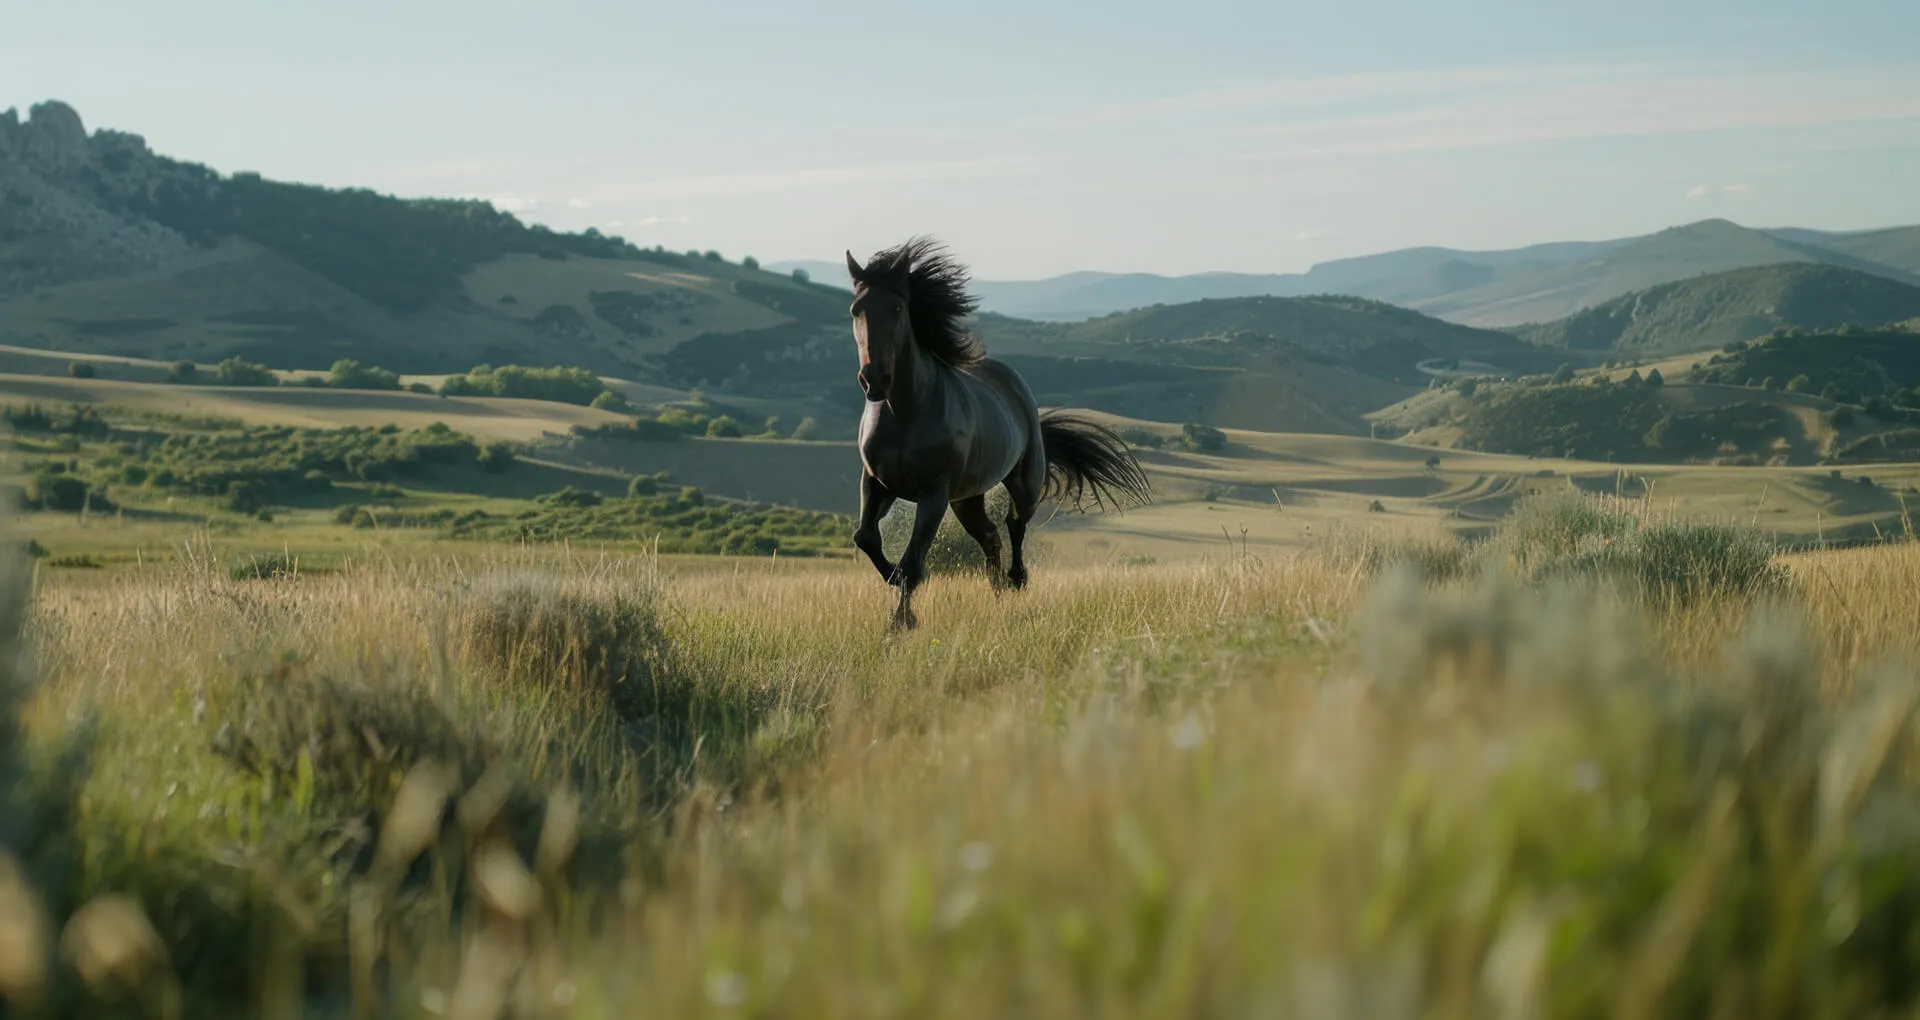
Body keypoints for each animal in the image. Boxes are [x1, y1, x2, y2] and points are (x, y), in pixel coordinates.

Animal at [843, 236, 1152, 630]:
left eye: (897, 308)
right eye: (856, 310)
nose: (874, 380)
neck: (905, 412)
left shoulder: (934, 494)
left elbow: (914, 562)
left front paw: (901, 624)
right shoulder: (876, 482)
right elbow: (865, 537)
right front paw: (892, 578)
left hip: (1022, 483)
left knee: (1014, 525)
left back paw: (1016, 580)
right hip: (967, 497)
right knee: (990, 536)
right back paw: (997, 590)